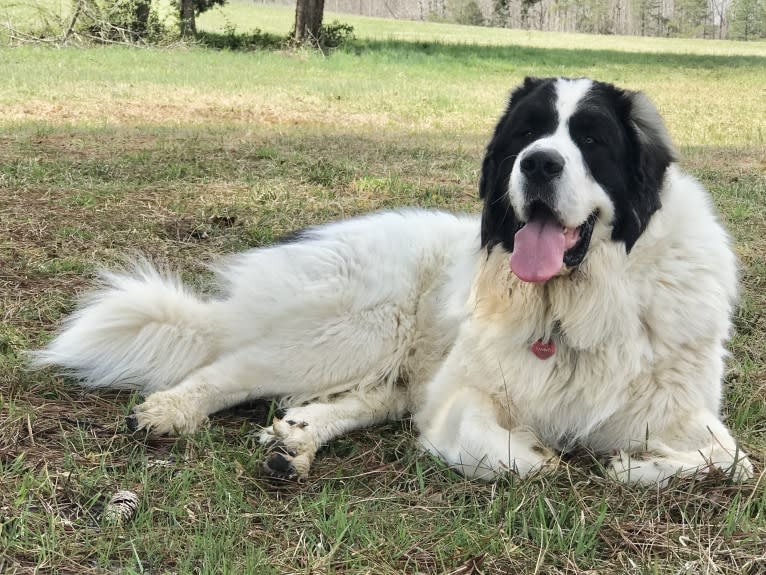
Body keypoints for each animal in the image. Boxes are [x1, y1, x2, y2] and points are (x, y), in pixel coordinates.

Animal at [33, 77, 752, 486]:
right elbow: (512, 458)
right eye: (526, 134)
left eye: (594, 140)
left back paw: (293, 442)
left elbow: (734, 462)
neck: (581, 302)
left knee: (343, 398)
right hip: (359, 327)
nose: (538, 164)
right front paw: (552, 455)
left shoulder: (684, 411)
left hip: (388, 363)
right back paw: (170, 411)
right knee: (231, 366)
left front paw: (635, 463)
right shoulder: (462, 396)